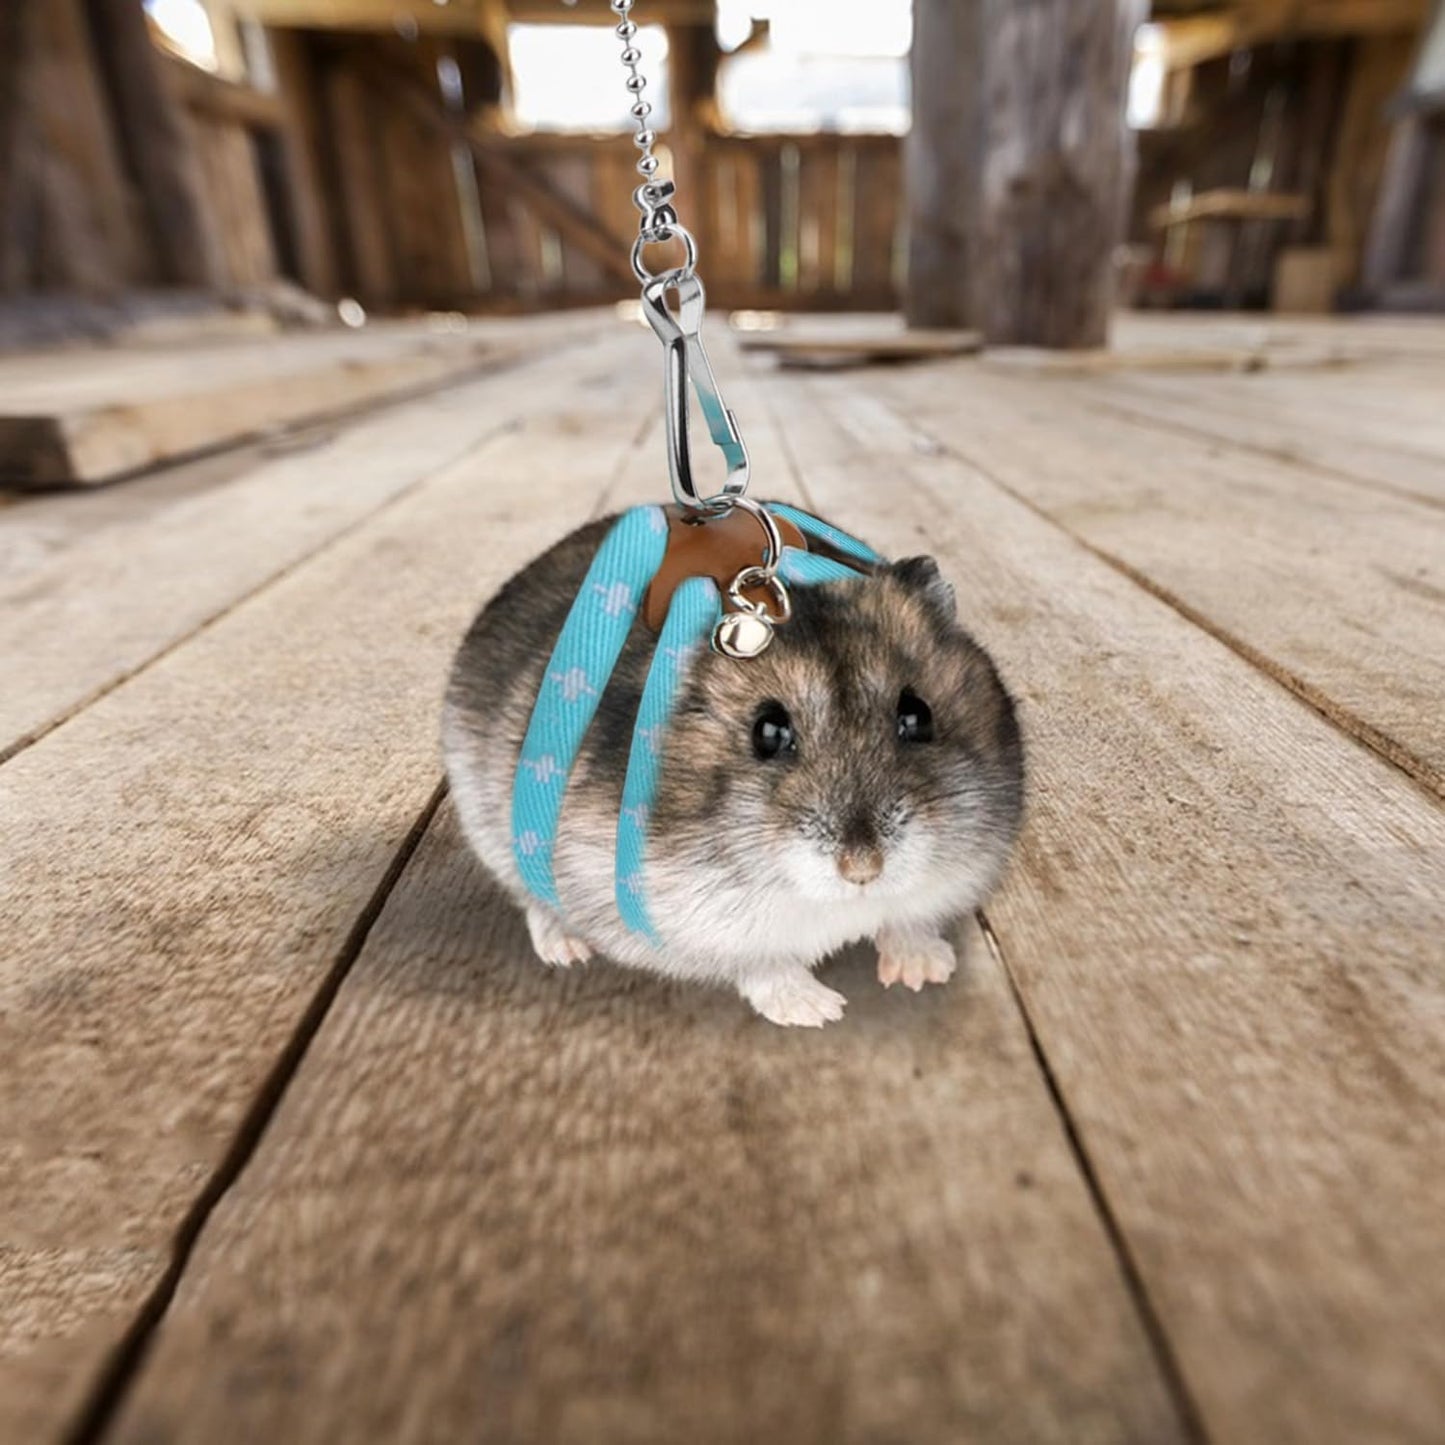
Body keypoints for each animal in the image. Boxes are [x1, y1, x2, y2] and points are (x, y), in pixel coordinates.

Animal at [442, 514, 1025, 1028]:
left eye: (917, 716)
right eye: (767, 733)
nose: (863, 870)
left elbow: (908, 921)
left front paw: (927, 972)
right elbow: (763, 963)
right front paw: (820, 1011)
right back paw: (567, 949)